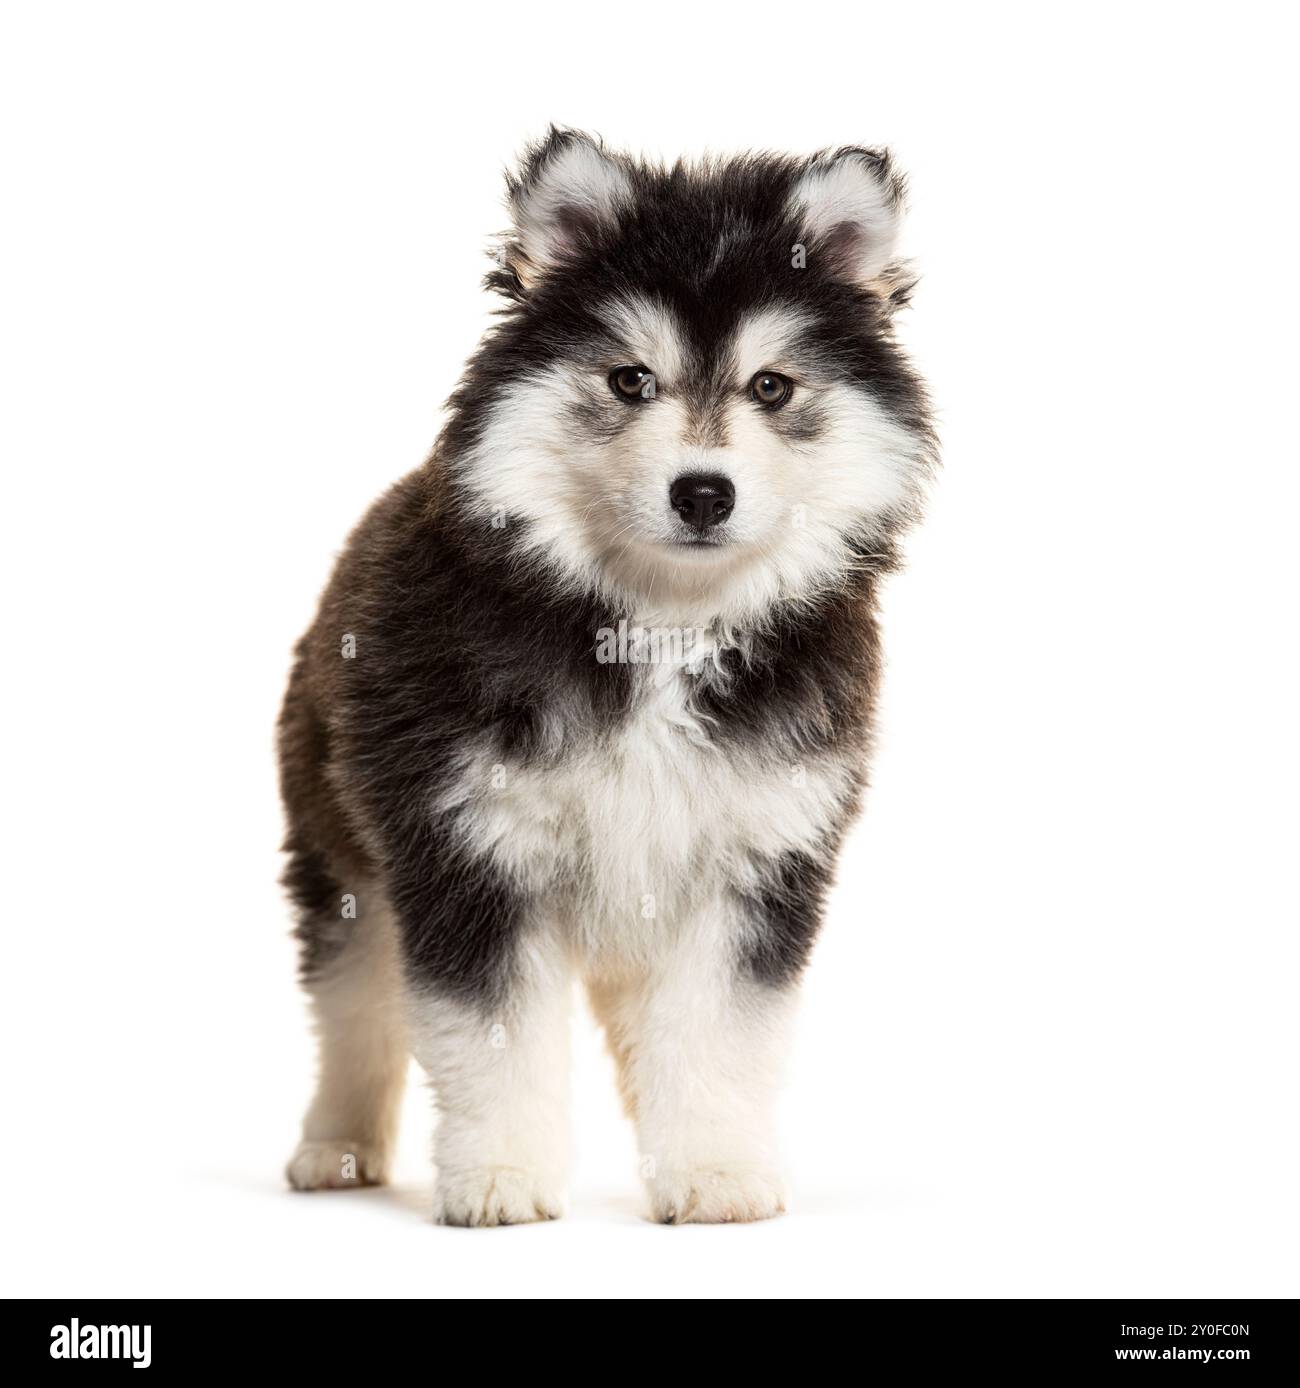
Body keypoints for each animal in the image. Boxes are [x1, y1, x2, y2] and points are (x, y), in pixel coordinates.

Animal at [281, 124, 932, 1221]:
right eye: (630, 380)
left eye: (770, 386)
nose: (703, 492)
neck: (661, 625)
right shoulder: (470, 848)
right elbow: (490, 1036)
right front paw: (500, 1174)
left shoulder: (754, 859)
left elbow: (718, 1032)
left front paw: (714, 1169)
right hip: (345, 860)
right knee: (354, 1012)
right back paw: (336, 1148)